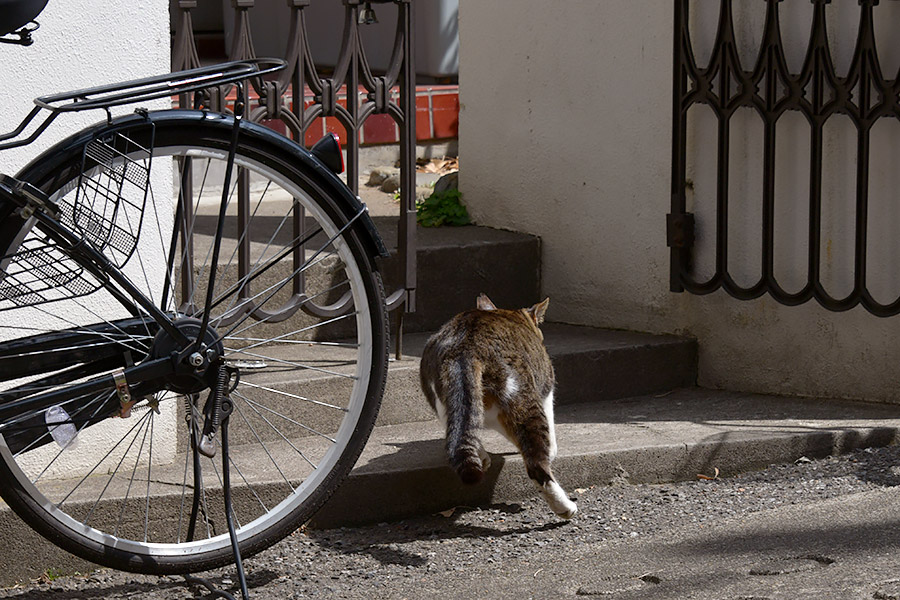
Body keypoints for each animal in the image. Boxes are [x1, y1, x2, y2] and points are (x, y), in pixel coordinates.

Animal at [420, 292, 576, 516]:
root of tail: (464, 347)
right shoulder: (546, 389)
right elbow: (551, 422)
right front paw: (553, 451)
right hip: (522, 401)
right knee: (536, 464)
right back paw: (564, 507)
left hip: (444, 400)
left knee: (460, 429)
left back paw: (480, 456)